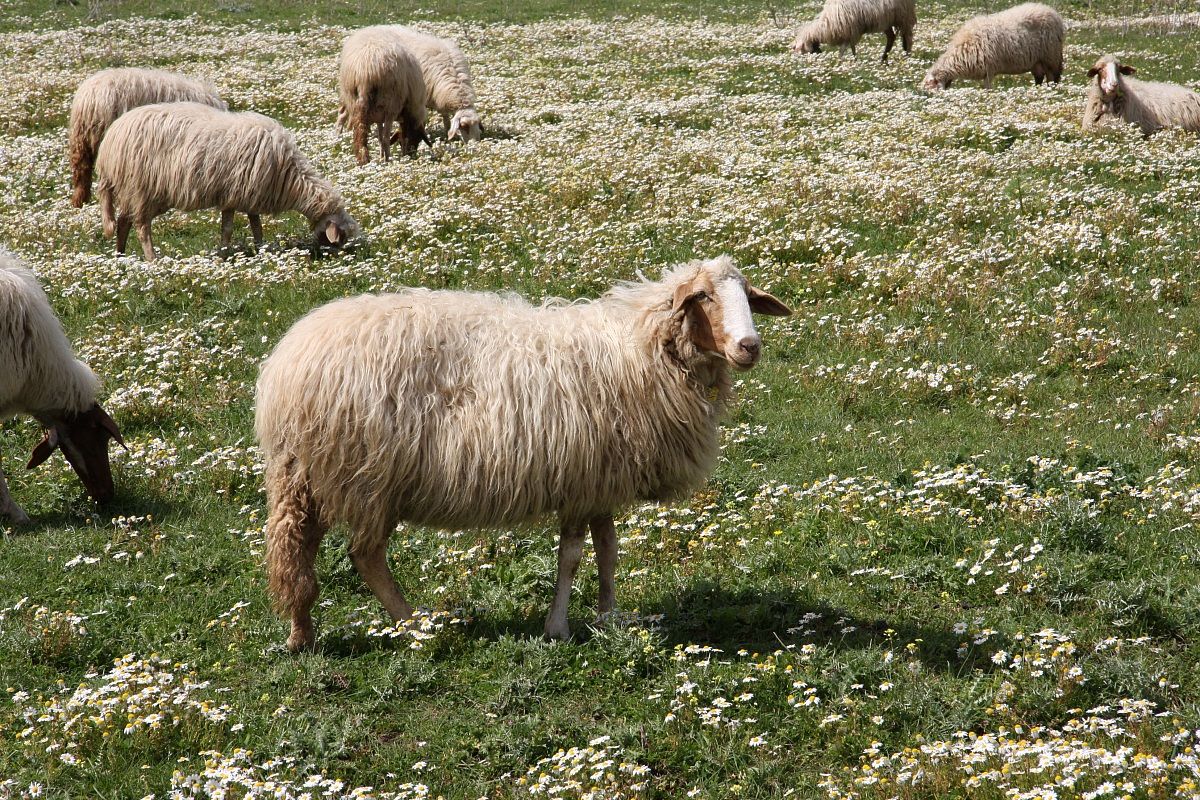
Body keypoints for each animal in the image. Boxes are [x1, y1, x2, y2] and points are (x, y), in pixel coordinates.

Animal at [94, 102, 359, 262]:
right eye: (341, 236)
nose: (340, 256)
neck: (290, 176)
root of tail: (111, 139)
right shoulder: (234, 194)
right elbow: (228, 229)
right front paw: (224, 253)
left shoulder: (250, 195)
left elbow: (256, 226)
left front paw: (261, 249)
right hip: (142, 188)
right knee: (141, 225)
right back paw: (151, 258)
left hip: (136, 190)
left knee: (123, 220)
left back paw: (120, 254)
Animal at [256, 255, 792, 652]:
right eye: (703, 296)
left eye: (748, 296)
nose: (750, 346)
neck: (641, 350)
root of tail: (288, 362)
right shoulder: (581, 479)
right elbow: (572, 556)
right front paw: (559, 627)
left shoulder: (600, 479)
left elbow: (608, 550)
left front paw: (609, 617)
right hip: (367, 474)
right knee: (363, 555)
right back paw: (415, 626)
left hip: (306, 474)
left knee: (295, 548)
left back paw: (302, 634)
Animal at [338, 25, 430, 164]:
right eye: (418, 139)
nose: (409, 155)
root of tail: (365, 72)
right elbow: (384, 137)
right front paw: (384, 157)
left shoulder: (378, 115)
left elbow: (380, 136)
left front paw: (380, 156)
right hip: (390, 104)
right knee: (386, 137)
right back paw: (387, 160)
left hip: (354, 101)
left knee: (358, 131)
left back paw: (363, 158)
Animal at [922, 3, 1064, 90]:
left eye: (930, 87)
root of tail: (1052, 11)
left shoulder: (989, 68)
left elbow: (987, 88)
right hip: (1036, 59)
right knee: (1039, 76)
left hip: (1051, 54)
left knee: (1053, 76)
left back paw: (1052, 90)